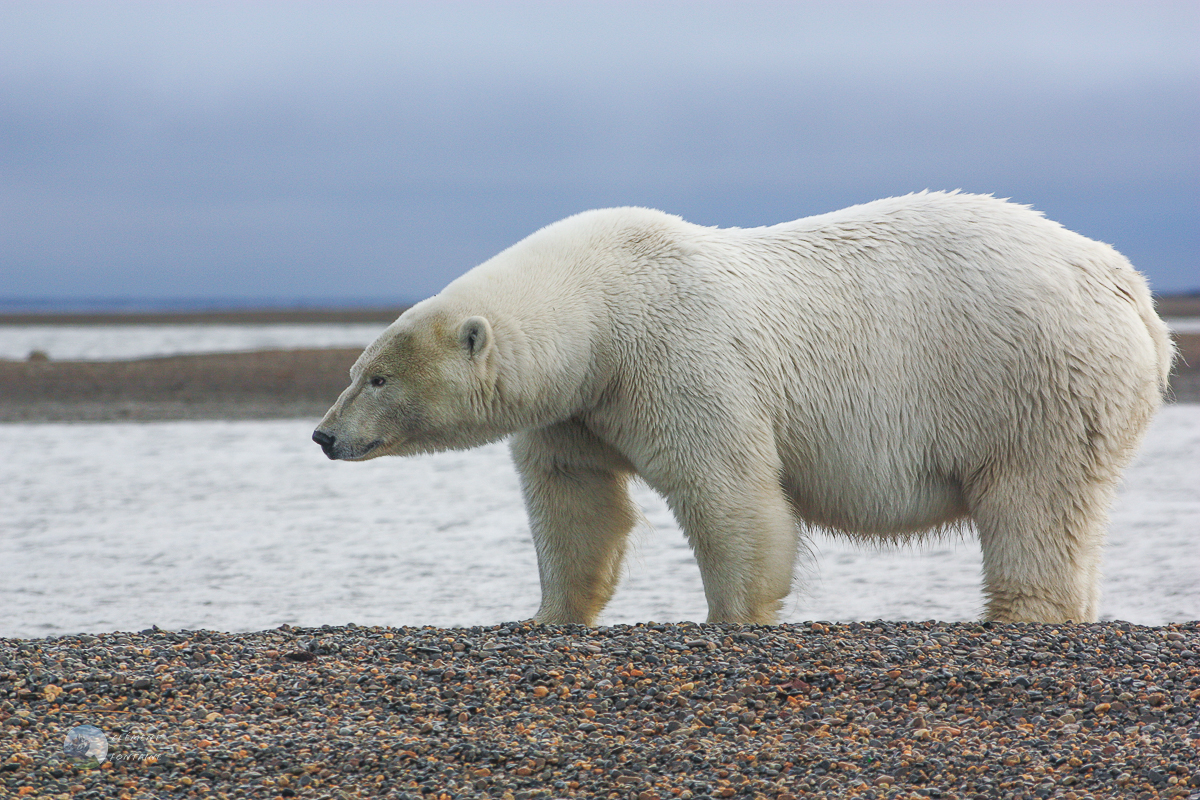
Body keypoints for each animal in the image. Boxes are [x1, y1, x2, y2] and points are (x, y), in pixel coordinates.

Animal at [314, 191, 1176, 623]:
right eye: (354, 367)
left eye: (378, 378)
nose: (323, 435)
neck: (600, 305)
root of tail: (1132, 291)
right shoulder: (582, 403)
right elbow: (575, 499)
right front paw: (547, 615)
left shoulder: (676, 357)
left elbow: (729, 489)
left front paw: (732, 615)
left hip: (1031, 382)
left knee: (1033, 506)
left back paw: (1023, 612)